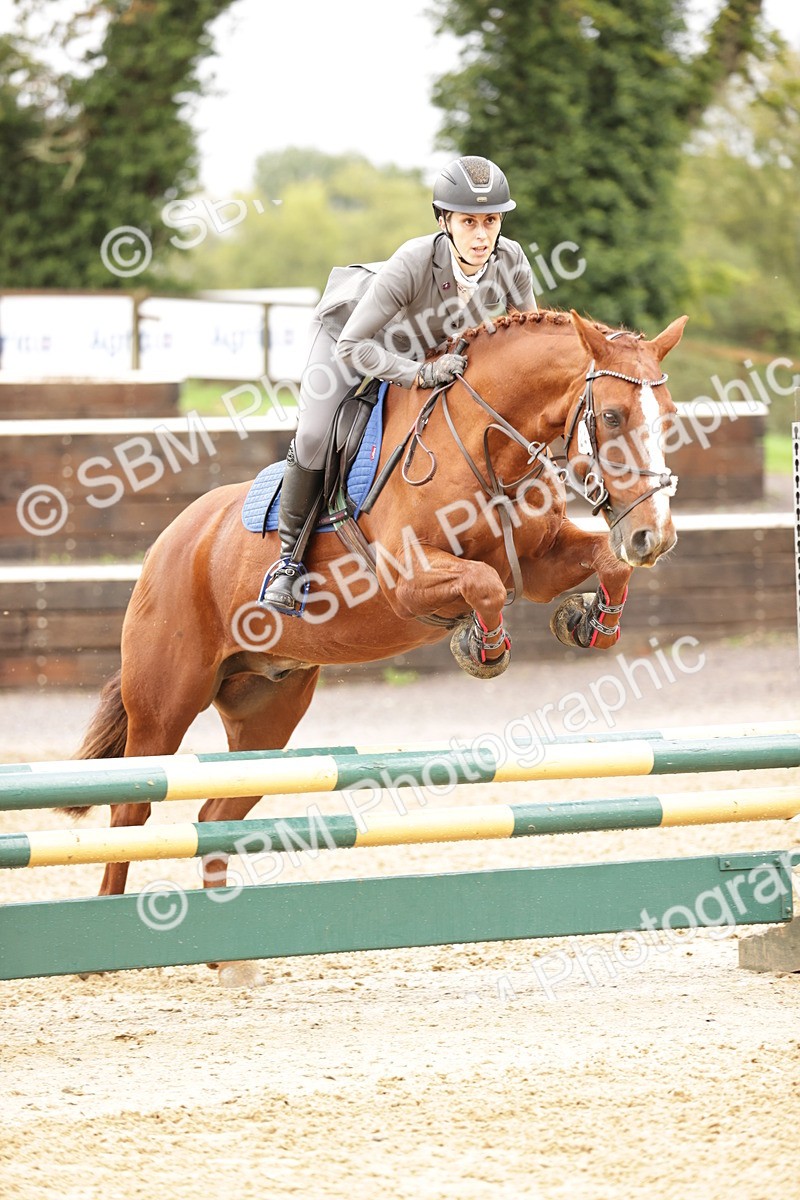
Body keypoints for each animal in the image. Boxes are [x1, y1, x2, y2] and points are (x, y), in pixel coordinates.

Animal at [71, 307, 687, 986]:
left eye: (669, 415)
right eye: (613, 417)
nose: (655, 535)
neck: (487, 443)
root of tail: (172, 540)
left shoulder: (541, 561)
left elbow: (602, 564)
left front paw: (590, 621)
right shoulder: (407, 578)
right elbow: (484, 583)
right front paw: (483, 648)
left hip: (266, 717)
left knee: (213, 820)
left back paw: (227, 959)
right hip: (165, 705)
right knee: (130, 813)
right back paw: (102, 953)